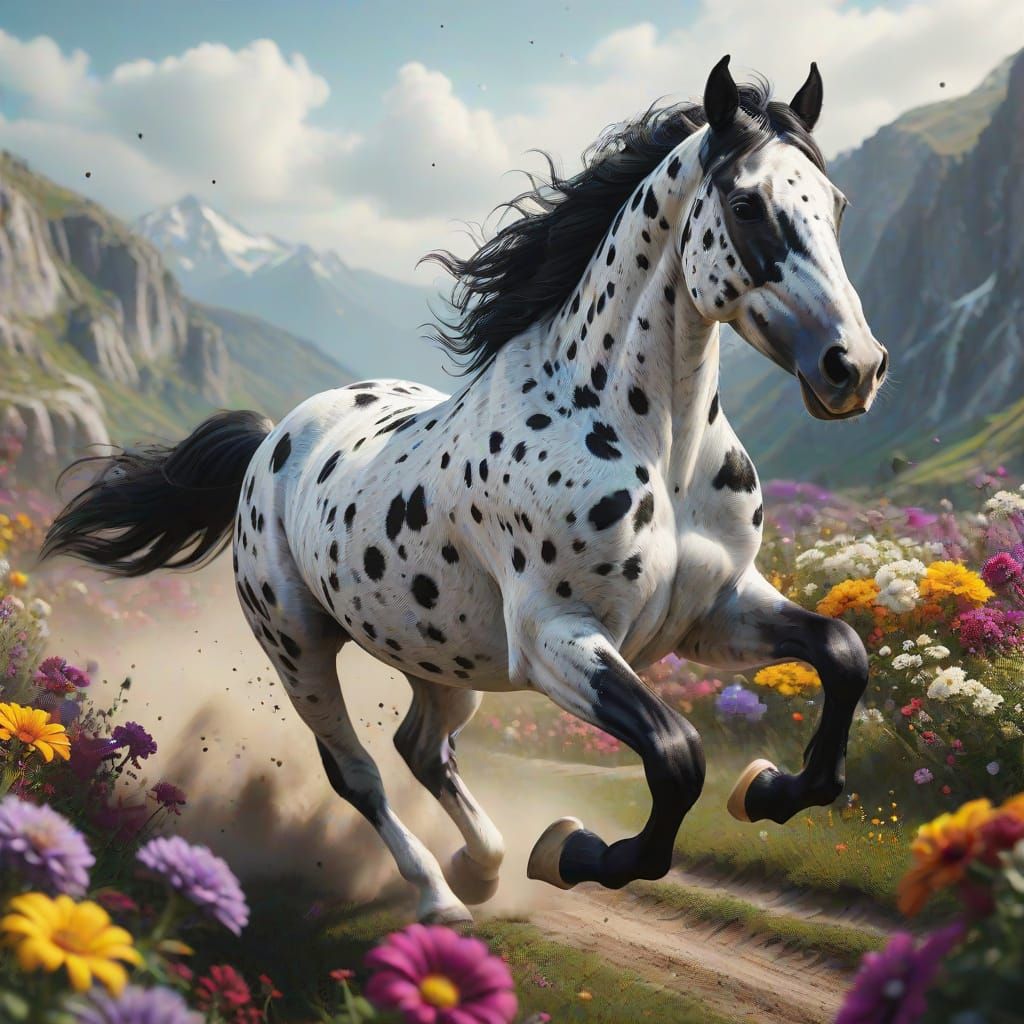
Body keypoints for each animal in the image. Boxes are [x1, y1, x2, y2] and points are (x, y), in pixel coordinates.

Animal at [42, 56, 887, 924]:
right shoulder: (558, 638)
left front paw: (766, 791)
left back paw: (480, 869)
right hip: (298, 648)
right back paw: (441, 895)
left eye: (837, 206)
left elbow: (842, 653)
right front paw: (574, 852)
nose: (853, 367)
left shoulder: (714, 613)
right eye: (748, 203)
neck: (655, 446)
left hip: (441, 660)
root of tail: (272, 440)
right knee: (358, 772)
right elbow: (676, 755)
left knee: (421, 748)